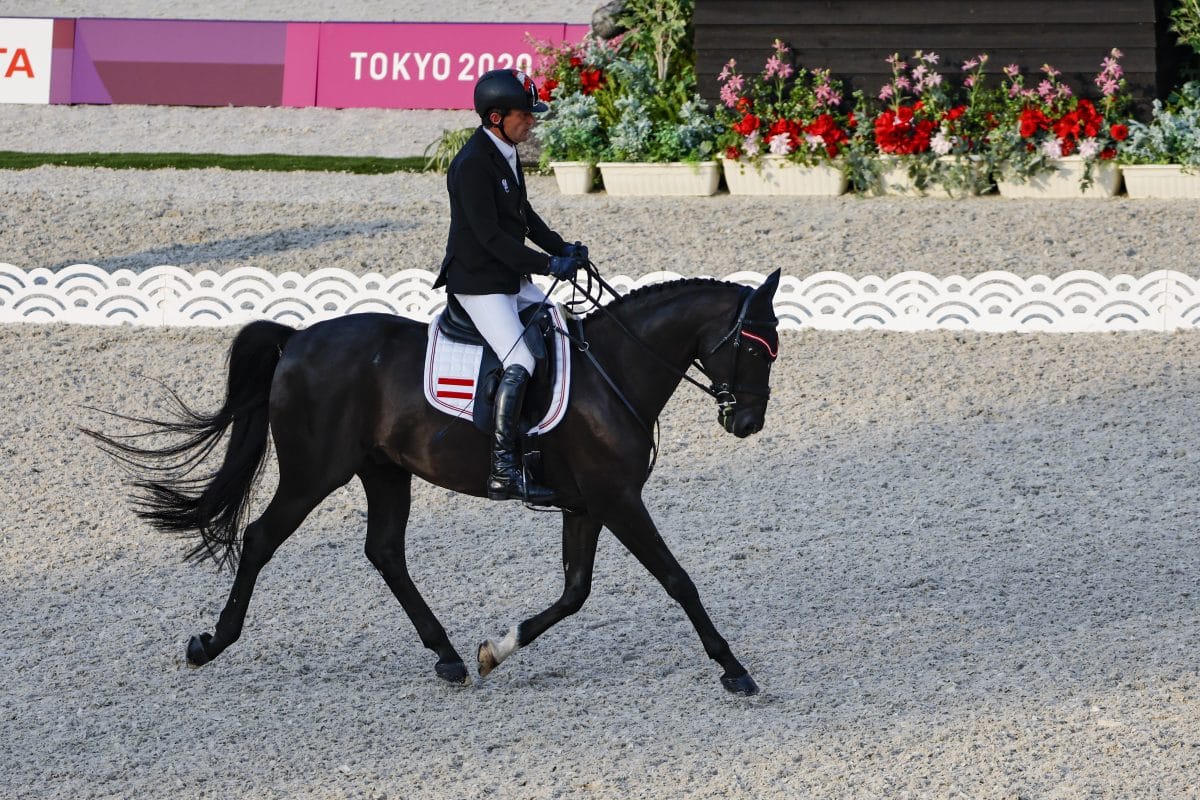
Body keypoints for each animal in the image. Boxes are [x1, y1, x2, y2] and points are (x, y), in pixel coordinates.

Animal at [96, 268, 787, 695]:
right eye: (754, 347)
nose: (748, 422)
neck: (614, 369)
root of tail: (296, 340)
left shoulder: (587, 504)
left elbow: (574, 592)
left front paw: (495, 650)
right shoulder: (618, 499)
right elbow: (677, 579)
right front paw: (734, 668)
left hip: (383, 471)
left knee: (384, 551)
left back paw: (449, 655)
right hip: (313, 472)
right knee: (263, 537)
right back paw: (211, 643)